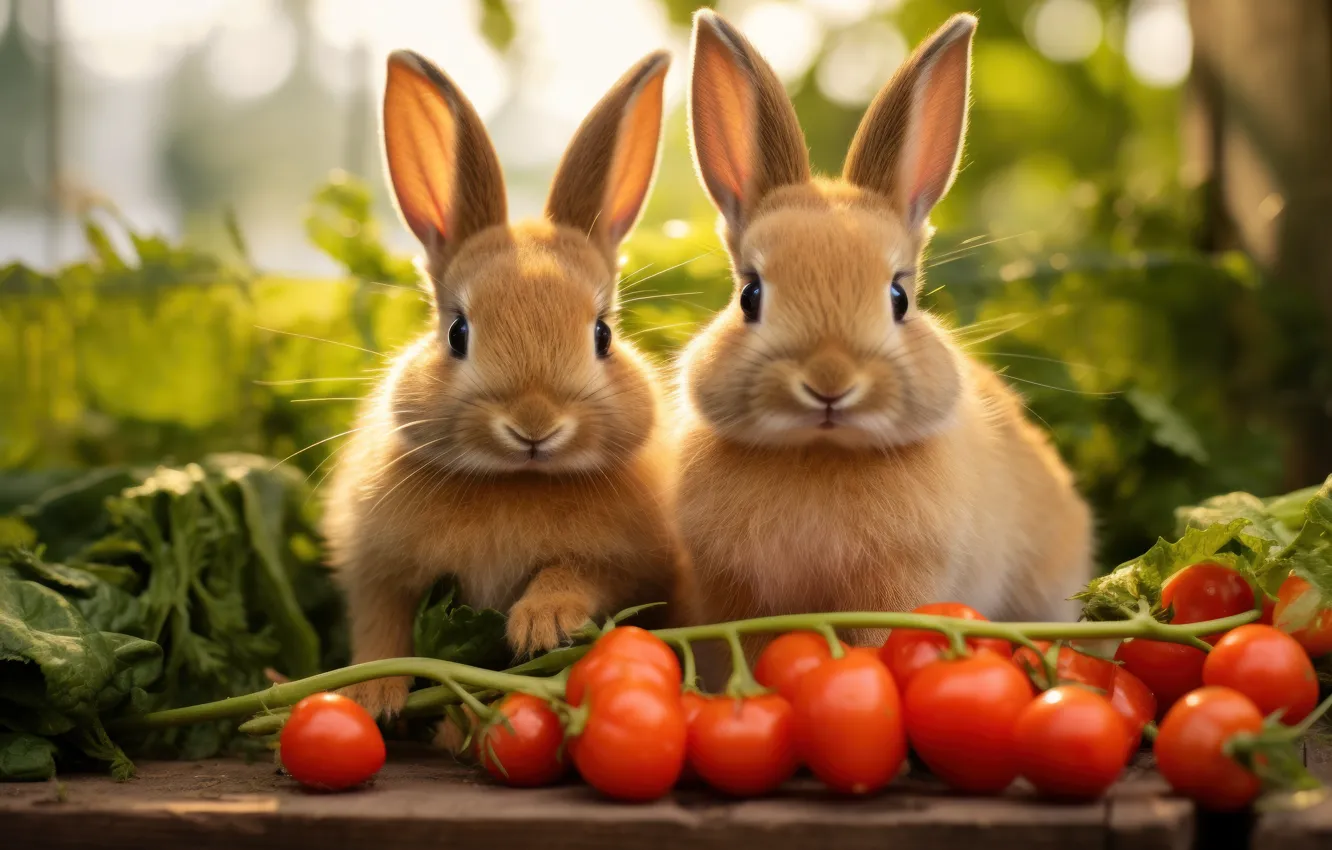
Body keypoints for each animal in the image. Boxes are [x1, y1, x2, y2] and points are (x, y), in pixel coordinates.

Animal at [323, 48, 693, 719]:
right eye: (457, 332)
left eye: (602, 335)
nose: (534, 424)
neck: (515, 481)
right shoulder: (377, 571)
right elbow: (381, 630)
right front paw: (372, 694)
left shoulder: (623, 564)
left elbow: (572, 576)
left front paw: (539, 627)